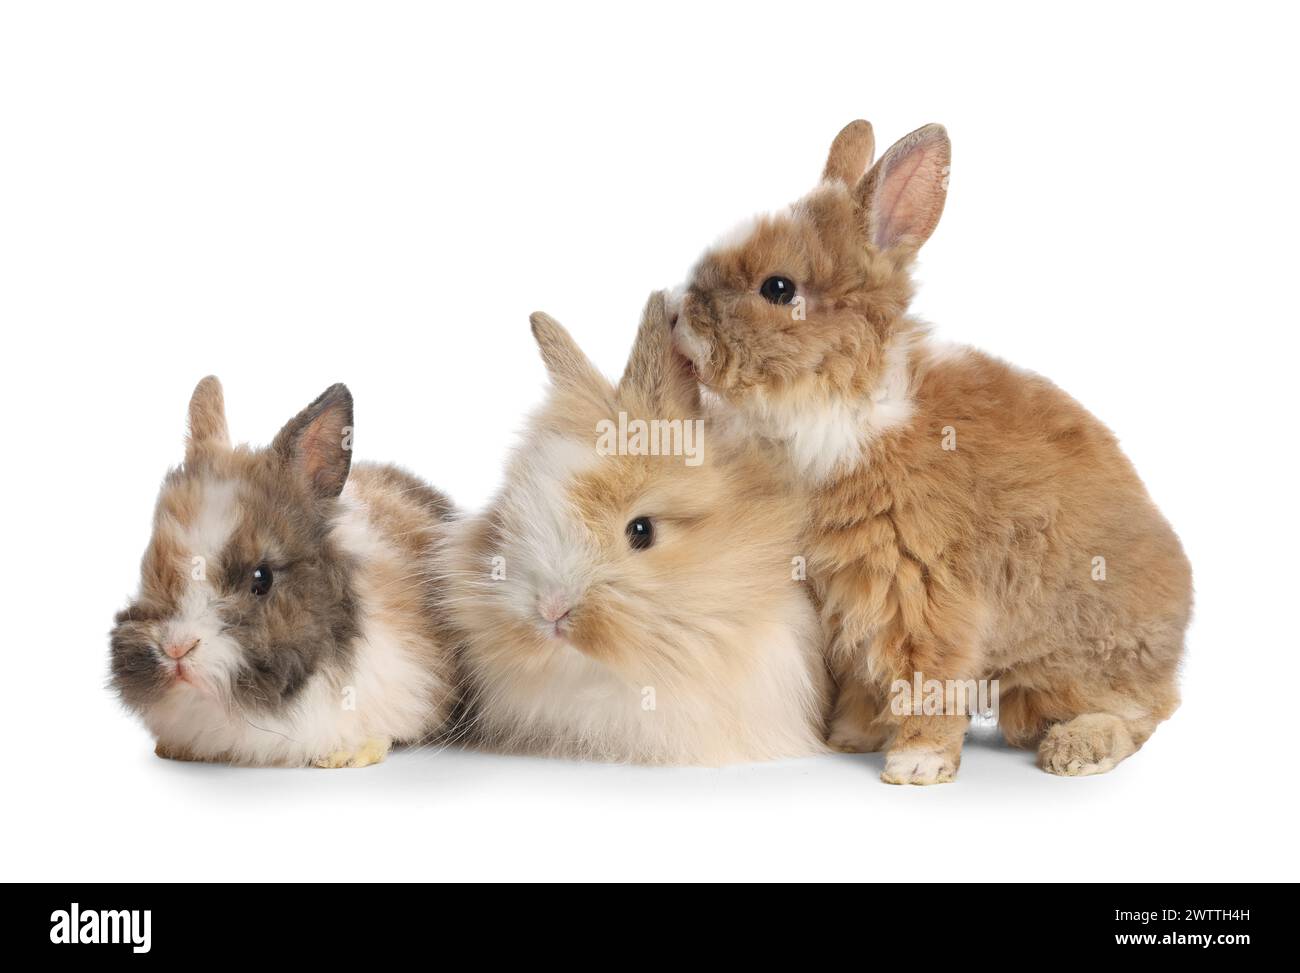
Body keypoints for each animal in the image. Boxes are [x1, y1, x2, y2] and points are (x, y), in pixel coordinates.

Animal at [671, 119, 1193, 783]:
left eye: (778, 288)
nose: (677, 320)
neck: (846, 402)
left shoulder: (924, 587)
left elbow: (930, 677)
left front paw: (914, 765)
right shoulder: (846, 595)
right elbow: (867, 675)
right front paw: (851, 737)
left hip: (1079, 665)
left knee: (1143, 712)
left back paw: (1076, 750)